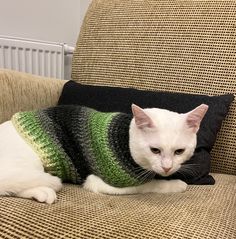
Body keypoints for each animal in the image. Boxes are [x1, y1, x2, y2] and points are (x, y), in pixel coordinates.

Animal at [0, 103, 207, 203]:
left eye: (179, 151)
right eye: (154, 150)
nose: (167, 167)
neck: (125, 138)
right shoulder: (104, 183)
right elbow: (150, 185)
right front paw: (175, 184)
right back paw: (44, 191)